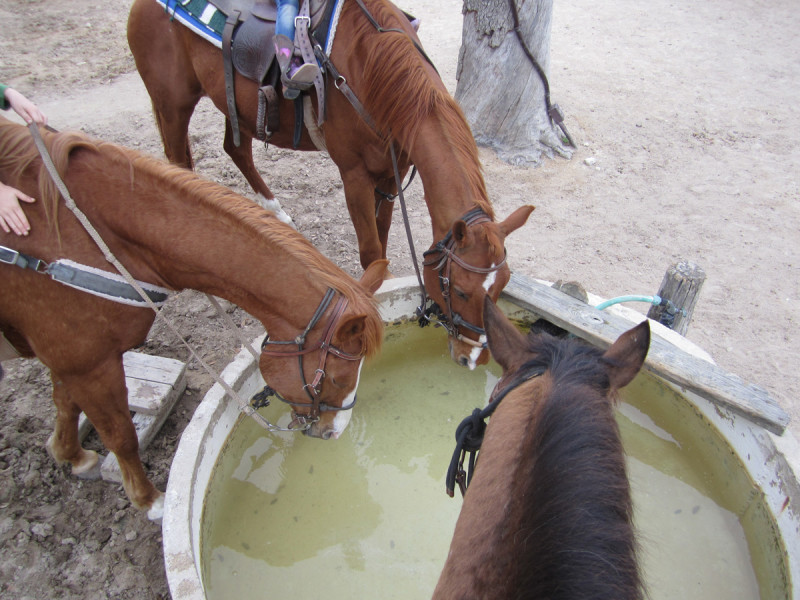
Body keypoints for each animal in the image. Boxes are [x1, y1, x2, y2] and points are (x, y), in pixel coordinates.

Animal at [0, 117, 388, 520]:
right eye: (336, 377)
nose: (335, 431)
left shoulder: (68, 356)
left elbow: (64, 402)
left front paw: (71, 456)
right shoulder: (87, 360)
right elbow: (120, 434)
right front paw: (150, 501)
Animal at [128, 0, 536, 370]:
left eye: (502, 286)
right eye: (462, 291)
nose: (475, 358)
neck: (373, 72)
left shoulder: (391, 173)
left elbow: (382, 237)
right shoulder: (354, 175)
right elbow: (370, 250)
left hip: (234, 107)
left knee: (236, 149)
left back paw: (273, 212)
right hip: (172, 105)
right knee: (179, 163)